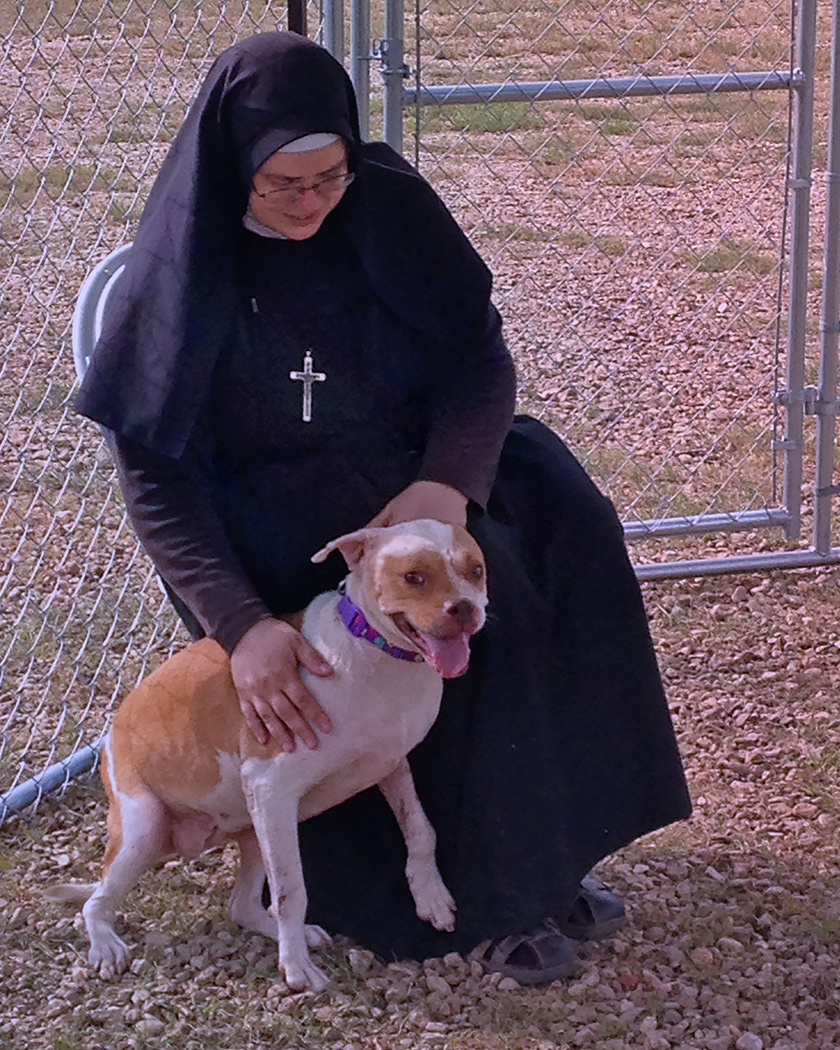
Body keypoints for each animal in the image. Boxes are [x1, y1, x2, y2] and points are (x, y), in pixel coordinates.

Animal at [45, 516, 489, 991]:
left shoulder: (390, 765)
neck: (375, 654)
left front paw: (431, 895)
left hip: (257, 828)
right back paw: (106, 946)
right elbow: (292, 890)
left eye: (476, 570)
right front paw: (295, 968)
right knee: (94, 903)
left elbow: (420, 829)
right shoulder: (272, 785)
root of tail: (113, 730)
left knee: (241, 906)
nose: (464, 608)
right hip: (146, 828)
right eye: (414, 577)